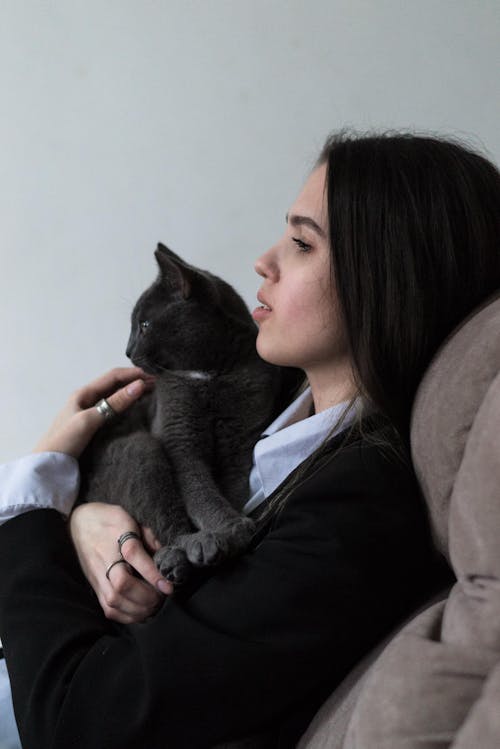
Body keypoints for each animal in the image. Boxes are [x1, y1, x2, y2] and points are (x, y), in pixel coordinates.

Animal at [78, 245, 296, 584]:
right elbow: (198, 489)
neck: (212, 375)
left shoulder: (239, 440)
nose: (127, 350)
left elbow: (229, 488)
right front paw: (228, 530)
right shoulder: (179, 439)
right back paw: (181, 554)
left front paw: (229, 531)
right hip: (139, 450)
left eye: (144, 325)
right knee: (165, 520)